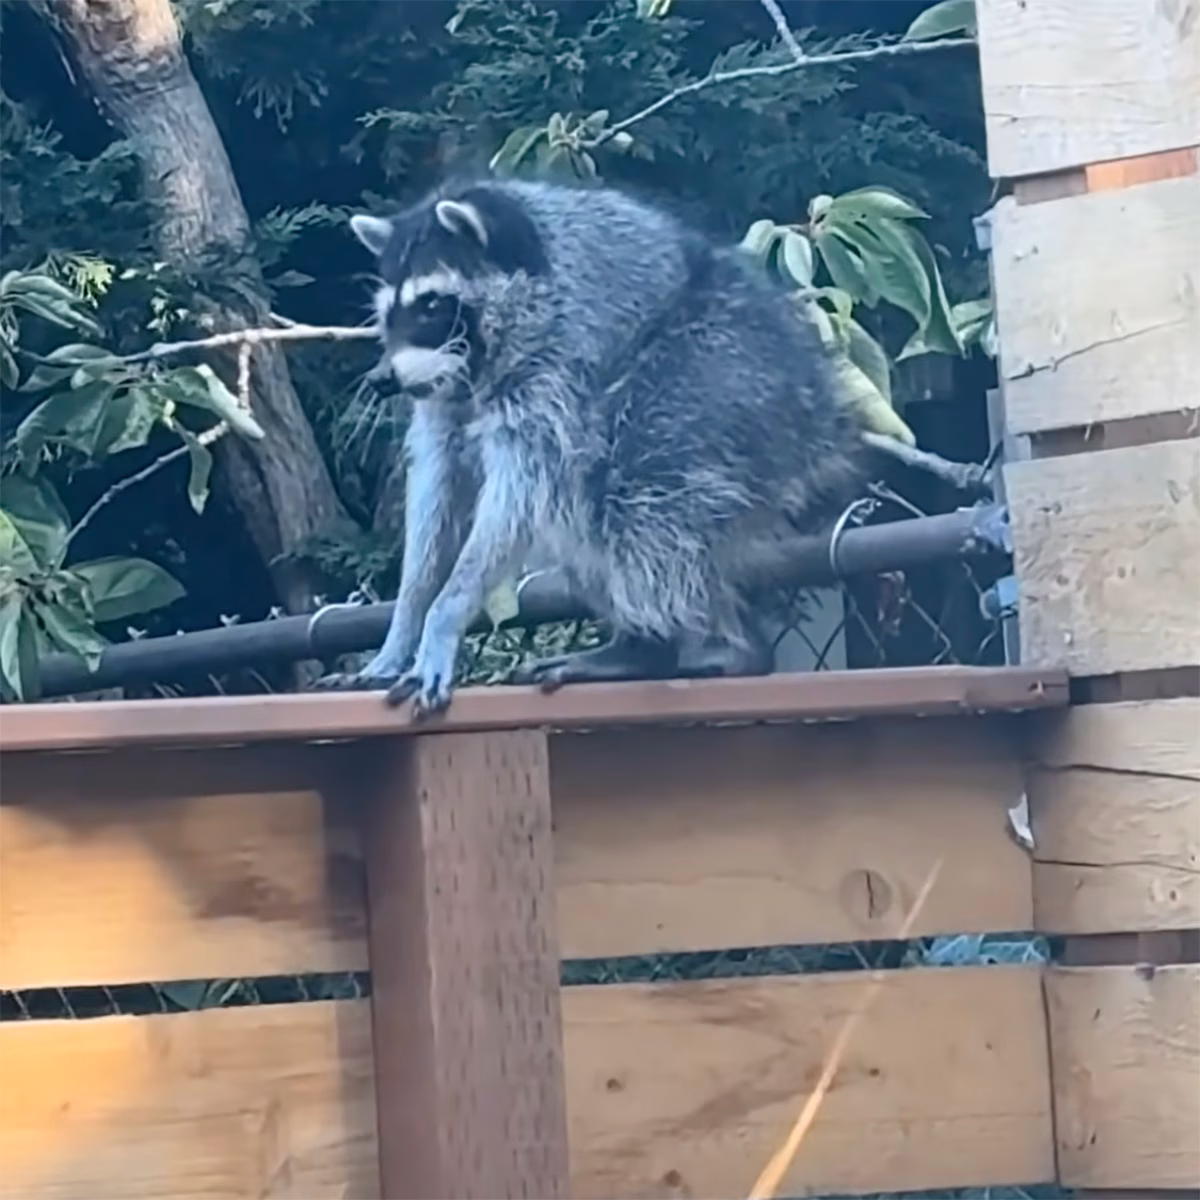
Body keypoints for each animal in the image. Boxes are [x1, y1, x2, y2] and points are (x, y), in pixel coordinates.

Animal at [315, 177, 868, 714]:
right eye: (386, 313)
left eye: (430, 305)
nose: (381, 380)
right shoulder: (446, 399)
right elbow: (439, 493)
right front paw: (404, 628)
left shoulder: (556, 368)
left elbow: (515, 498)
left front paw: (445, 615)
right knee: (589, 506)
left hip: (720, 378)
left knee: (637, 500)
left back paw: (670, 648)